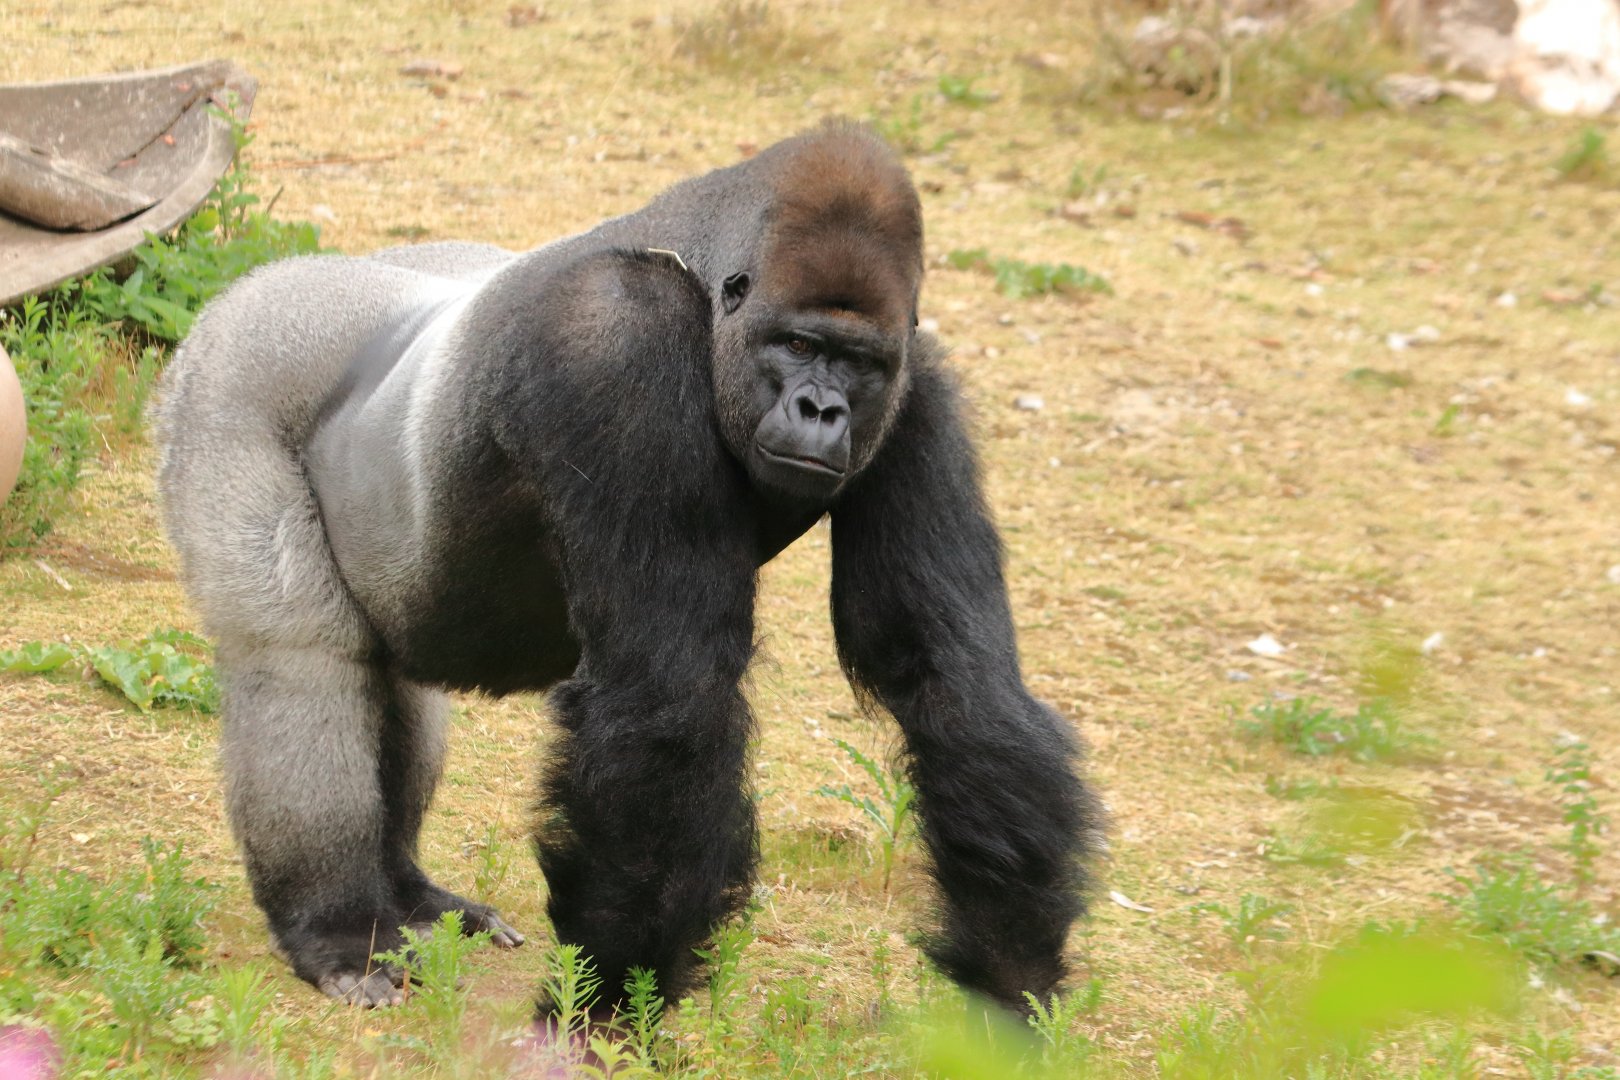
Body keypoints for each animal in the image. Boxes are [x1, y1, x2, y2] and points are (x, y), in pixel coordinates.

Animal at [153, 121, 1099, 1014]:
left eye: (858, 363)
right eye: (798, 345)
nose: (822, 409)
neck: (698, 274)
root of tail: (272, 280)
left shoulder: (915, 393)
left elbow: (950, 681)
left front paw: (1010, 988)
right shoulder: (615, 340)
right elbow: (668, 696)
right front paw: (613, 997)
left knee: (389, 683)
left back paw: (413, 897)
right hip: (235, 372)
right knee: (301, 661)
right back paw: (341, 928)